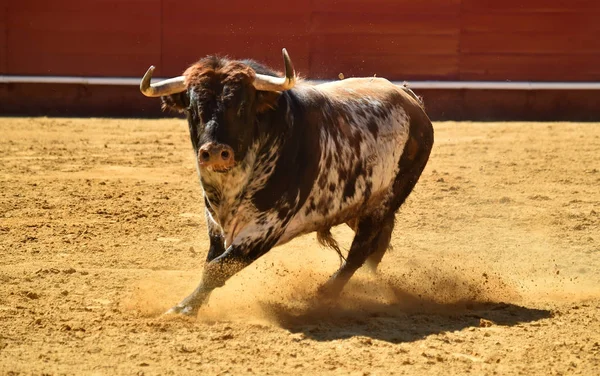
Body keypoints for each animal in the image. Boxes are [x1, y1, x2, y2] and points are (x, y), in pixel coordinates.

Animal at [140, 48, 432, 316]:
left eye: (242, 107)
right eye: (192, 108)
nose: (214, 151)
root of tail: (409, 99)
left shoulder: (267, 227)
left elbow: (217, 268)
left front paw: (184, 309)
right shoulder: (214, 220)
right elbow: (212, 262)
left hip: (384, 202)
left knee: (361, 249)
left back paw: (326, 293)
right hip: (358, 206)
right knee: (377, 243)